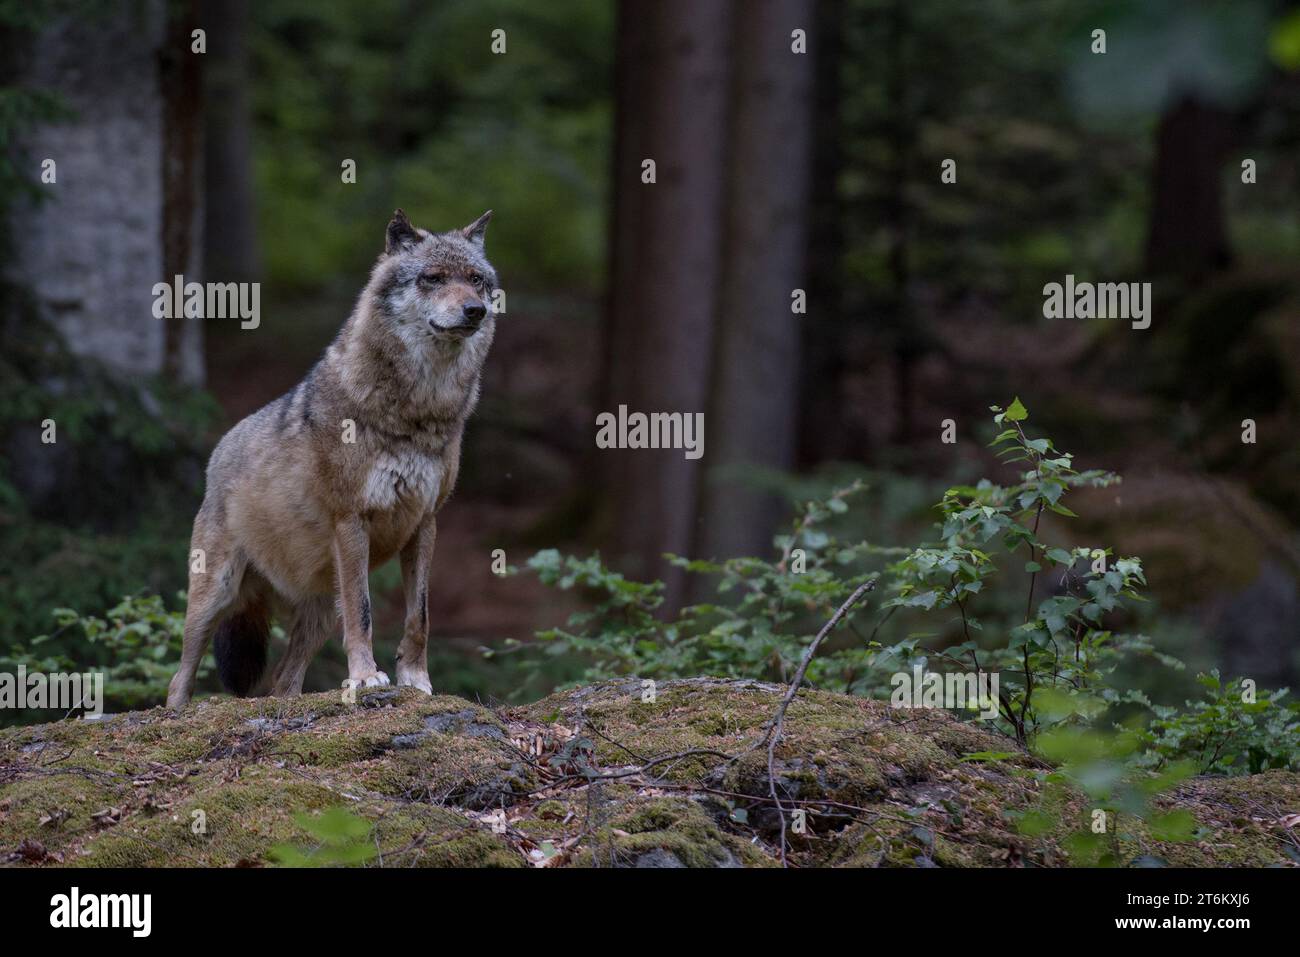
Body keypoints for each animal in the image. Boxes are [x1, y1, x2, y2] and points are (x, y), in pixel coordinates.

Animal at [166, 208, 496, 712]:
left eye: (475, 280)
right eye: (433, 278)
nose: (474, 310)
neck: (419, 411)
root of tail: (217, 452)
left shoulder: (426, 522)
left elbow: (419, 616)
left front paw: (416, 680)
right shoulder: (351, 519)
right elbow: (363, 614)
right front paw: (365, 678)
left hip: (318, 611)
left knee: (283, 682)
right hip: (215, 595)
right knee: (178, 677)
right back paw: (176, 713)